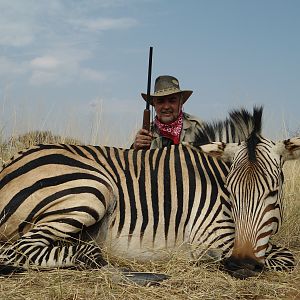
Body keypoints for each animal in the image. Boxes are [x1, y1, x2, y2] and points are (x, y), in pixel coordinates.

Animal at [0, 107, 298, 278]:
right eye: (230, 191)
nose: (242, 263)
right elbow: (283, 258)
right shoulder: (211, 236)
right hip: (91, 190)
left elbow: (283, 256)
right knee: (17, 250)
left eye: (274, 191)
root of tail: (10, 165)